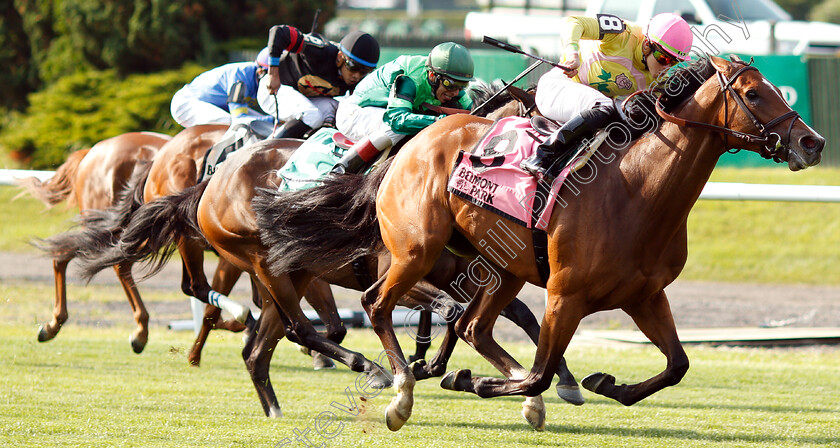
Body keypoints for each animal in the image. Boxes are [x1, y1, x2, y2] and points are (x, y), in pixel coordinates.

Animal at [253, 57, 824, 430]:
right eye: (753, 93)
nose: (812, 142)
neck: (636, 190)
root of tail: (411, 143)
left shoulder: (645, 295)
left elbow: (676, 365)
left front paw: (606, 385)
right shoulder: (565, 295)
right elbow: (540, 373)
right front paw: (479, 383)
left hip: (501, 268)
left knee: (473, 326)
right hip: (416, 252)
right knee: (377, 304)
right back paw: (399, 389)